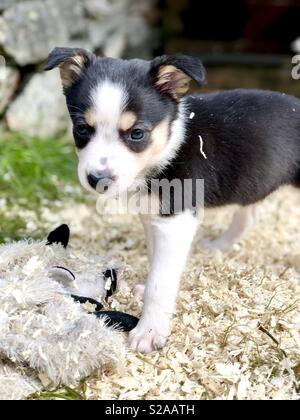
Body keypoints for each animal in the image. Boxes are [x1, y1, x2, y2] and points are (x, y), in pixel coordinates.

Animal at [44, 47, 300, 352]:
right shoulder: (154, 218)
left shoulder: (176, 221)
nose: (98, 179)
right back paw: (216, 247)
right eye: (82, 129)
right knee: (249, 216)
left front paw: (149, 331)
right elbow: (155, 263)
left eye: (137, 133)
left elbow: (161, 282)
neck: (168, 144)